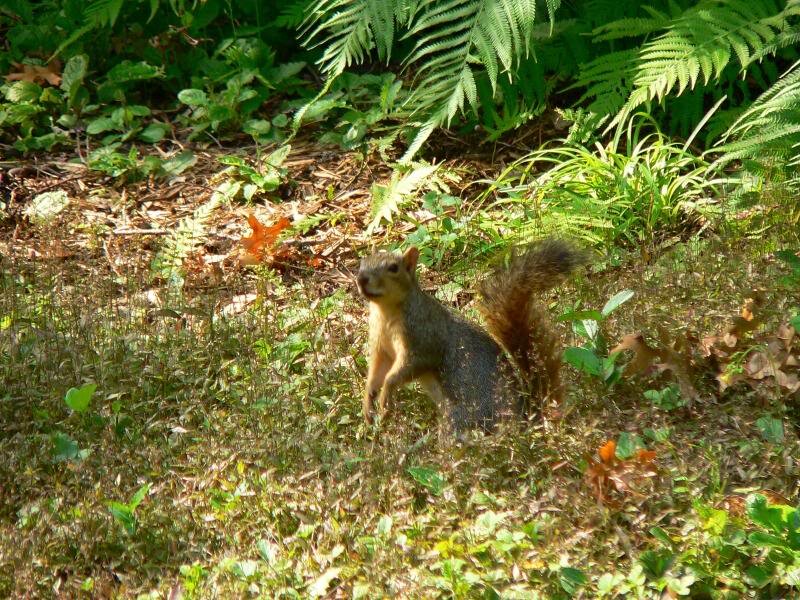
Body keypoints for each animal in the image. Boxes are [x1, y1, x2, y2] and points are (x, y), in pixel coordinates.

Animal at [356, 239, 584, 432]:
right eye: (363, 262)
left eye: (393, 268)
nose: (361, 279)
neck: (385, 312)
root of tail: (525, 419)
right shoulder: (381, 346)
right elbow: (378, 370)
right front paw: (368, 401)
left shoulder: (423, 338)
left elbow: (409, 366)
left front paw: (386, 394)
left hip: (461, 418)